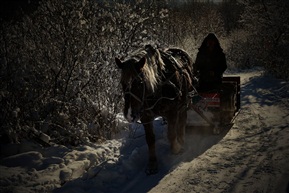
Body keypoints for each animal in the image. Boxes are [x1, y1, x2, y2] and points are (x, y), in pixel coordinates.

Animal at [115, 44, 194, 174]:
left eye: (139, 83)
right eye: (122, 83)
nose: (129, 114)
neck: (158, 87)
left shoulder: (172, 111)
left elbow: (171, 134)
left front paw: (176, 149)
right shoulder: (145, 116)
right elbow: (150, 139)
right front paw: (152, 163)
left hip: (184, 102)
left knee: (182, 121)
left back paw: (181, 140)